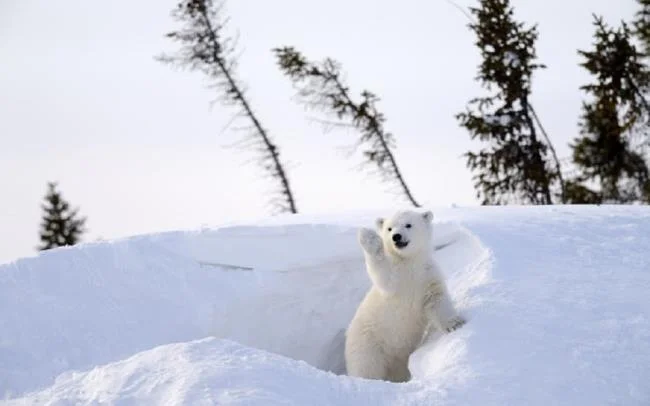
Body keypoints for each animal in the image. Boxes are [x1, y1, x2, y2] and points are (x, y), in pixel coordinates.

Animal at [344, 209, 465, 383]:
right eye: (389, 228)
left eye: (408, 224)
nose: (396, 236)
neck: (409, 263)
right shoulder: (395, 280)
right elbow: (383, 274)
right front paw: (368, 236)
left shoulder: (426, 276)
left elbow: (436, 299)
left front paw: (455, 323)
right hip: (368, 343)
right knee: (366, 367)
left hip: (397, 359)